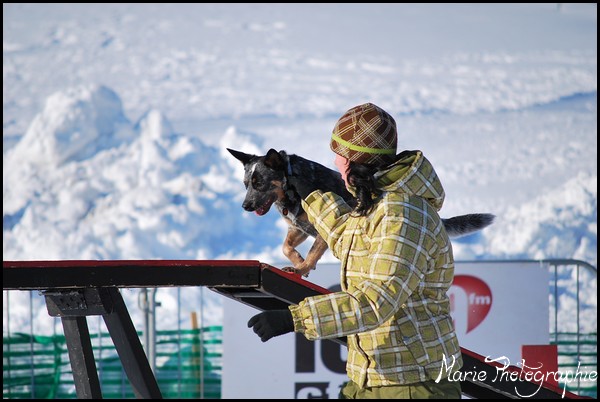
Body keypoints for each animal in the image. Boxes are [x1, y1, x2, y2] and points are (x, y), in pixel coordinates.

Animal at [227, 148, 494, 276]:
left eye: (259, 183)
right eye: (246, 184)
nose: (245, 206)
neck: (291, 188)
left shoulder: (322, 231)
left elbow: (312, 253)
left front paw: (302, 267)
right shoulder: (298, 228)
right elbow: (286, 247)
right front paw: (299, 261)